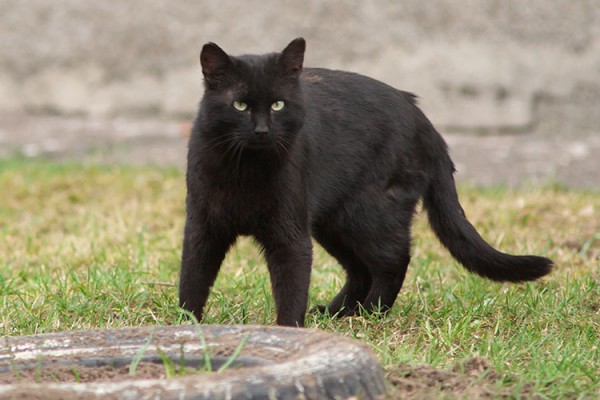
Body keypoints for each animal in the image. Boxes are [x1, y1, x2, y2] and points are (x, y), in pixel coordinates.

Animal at [179, 37, 552, 326]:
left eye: (278, 105)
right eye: (240, 105)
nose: (261, 130)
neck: (243, 170)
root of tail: (421, 117)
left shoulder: (291, 234)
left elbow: (291, 287)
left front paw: (288, 330)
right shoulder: (202, 226)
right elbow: (192, 277)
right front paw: (187, 327)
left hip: (368, 212)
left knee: (394, 260)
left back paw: (372, 313)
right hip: (336, 221)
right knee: (360, 269)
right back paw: (337, 313)